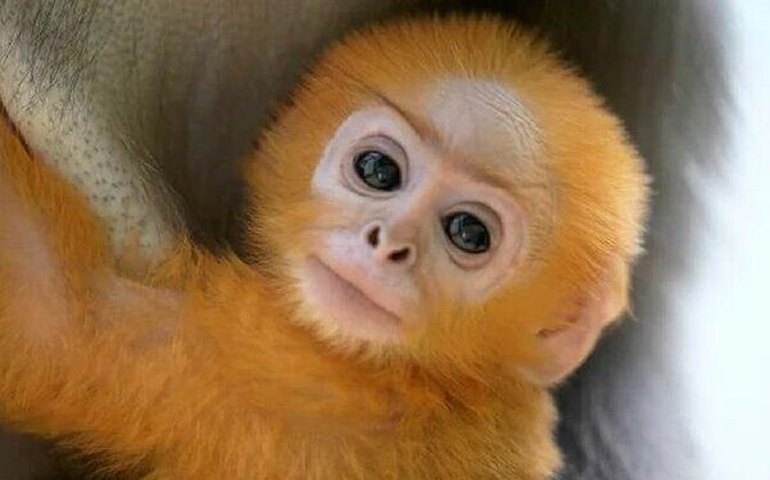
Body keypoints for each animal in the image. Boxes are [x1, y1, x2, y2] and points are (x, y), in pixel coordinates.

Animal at [0, 16, 649, 480]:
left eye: (469, 233)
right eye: (379, 170)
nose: (387, 245)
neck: (436, 388)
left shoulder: (299, 390)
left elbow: (55, 309)